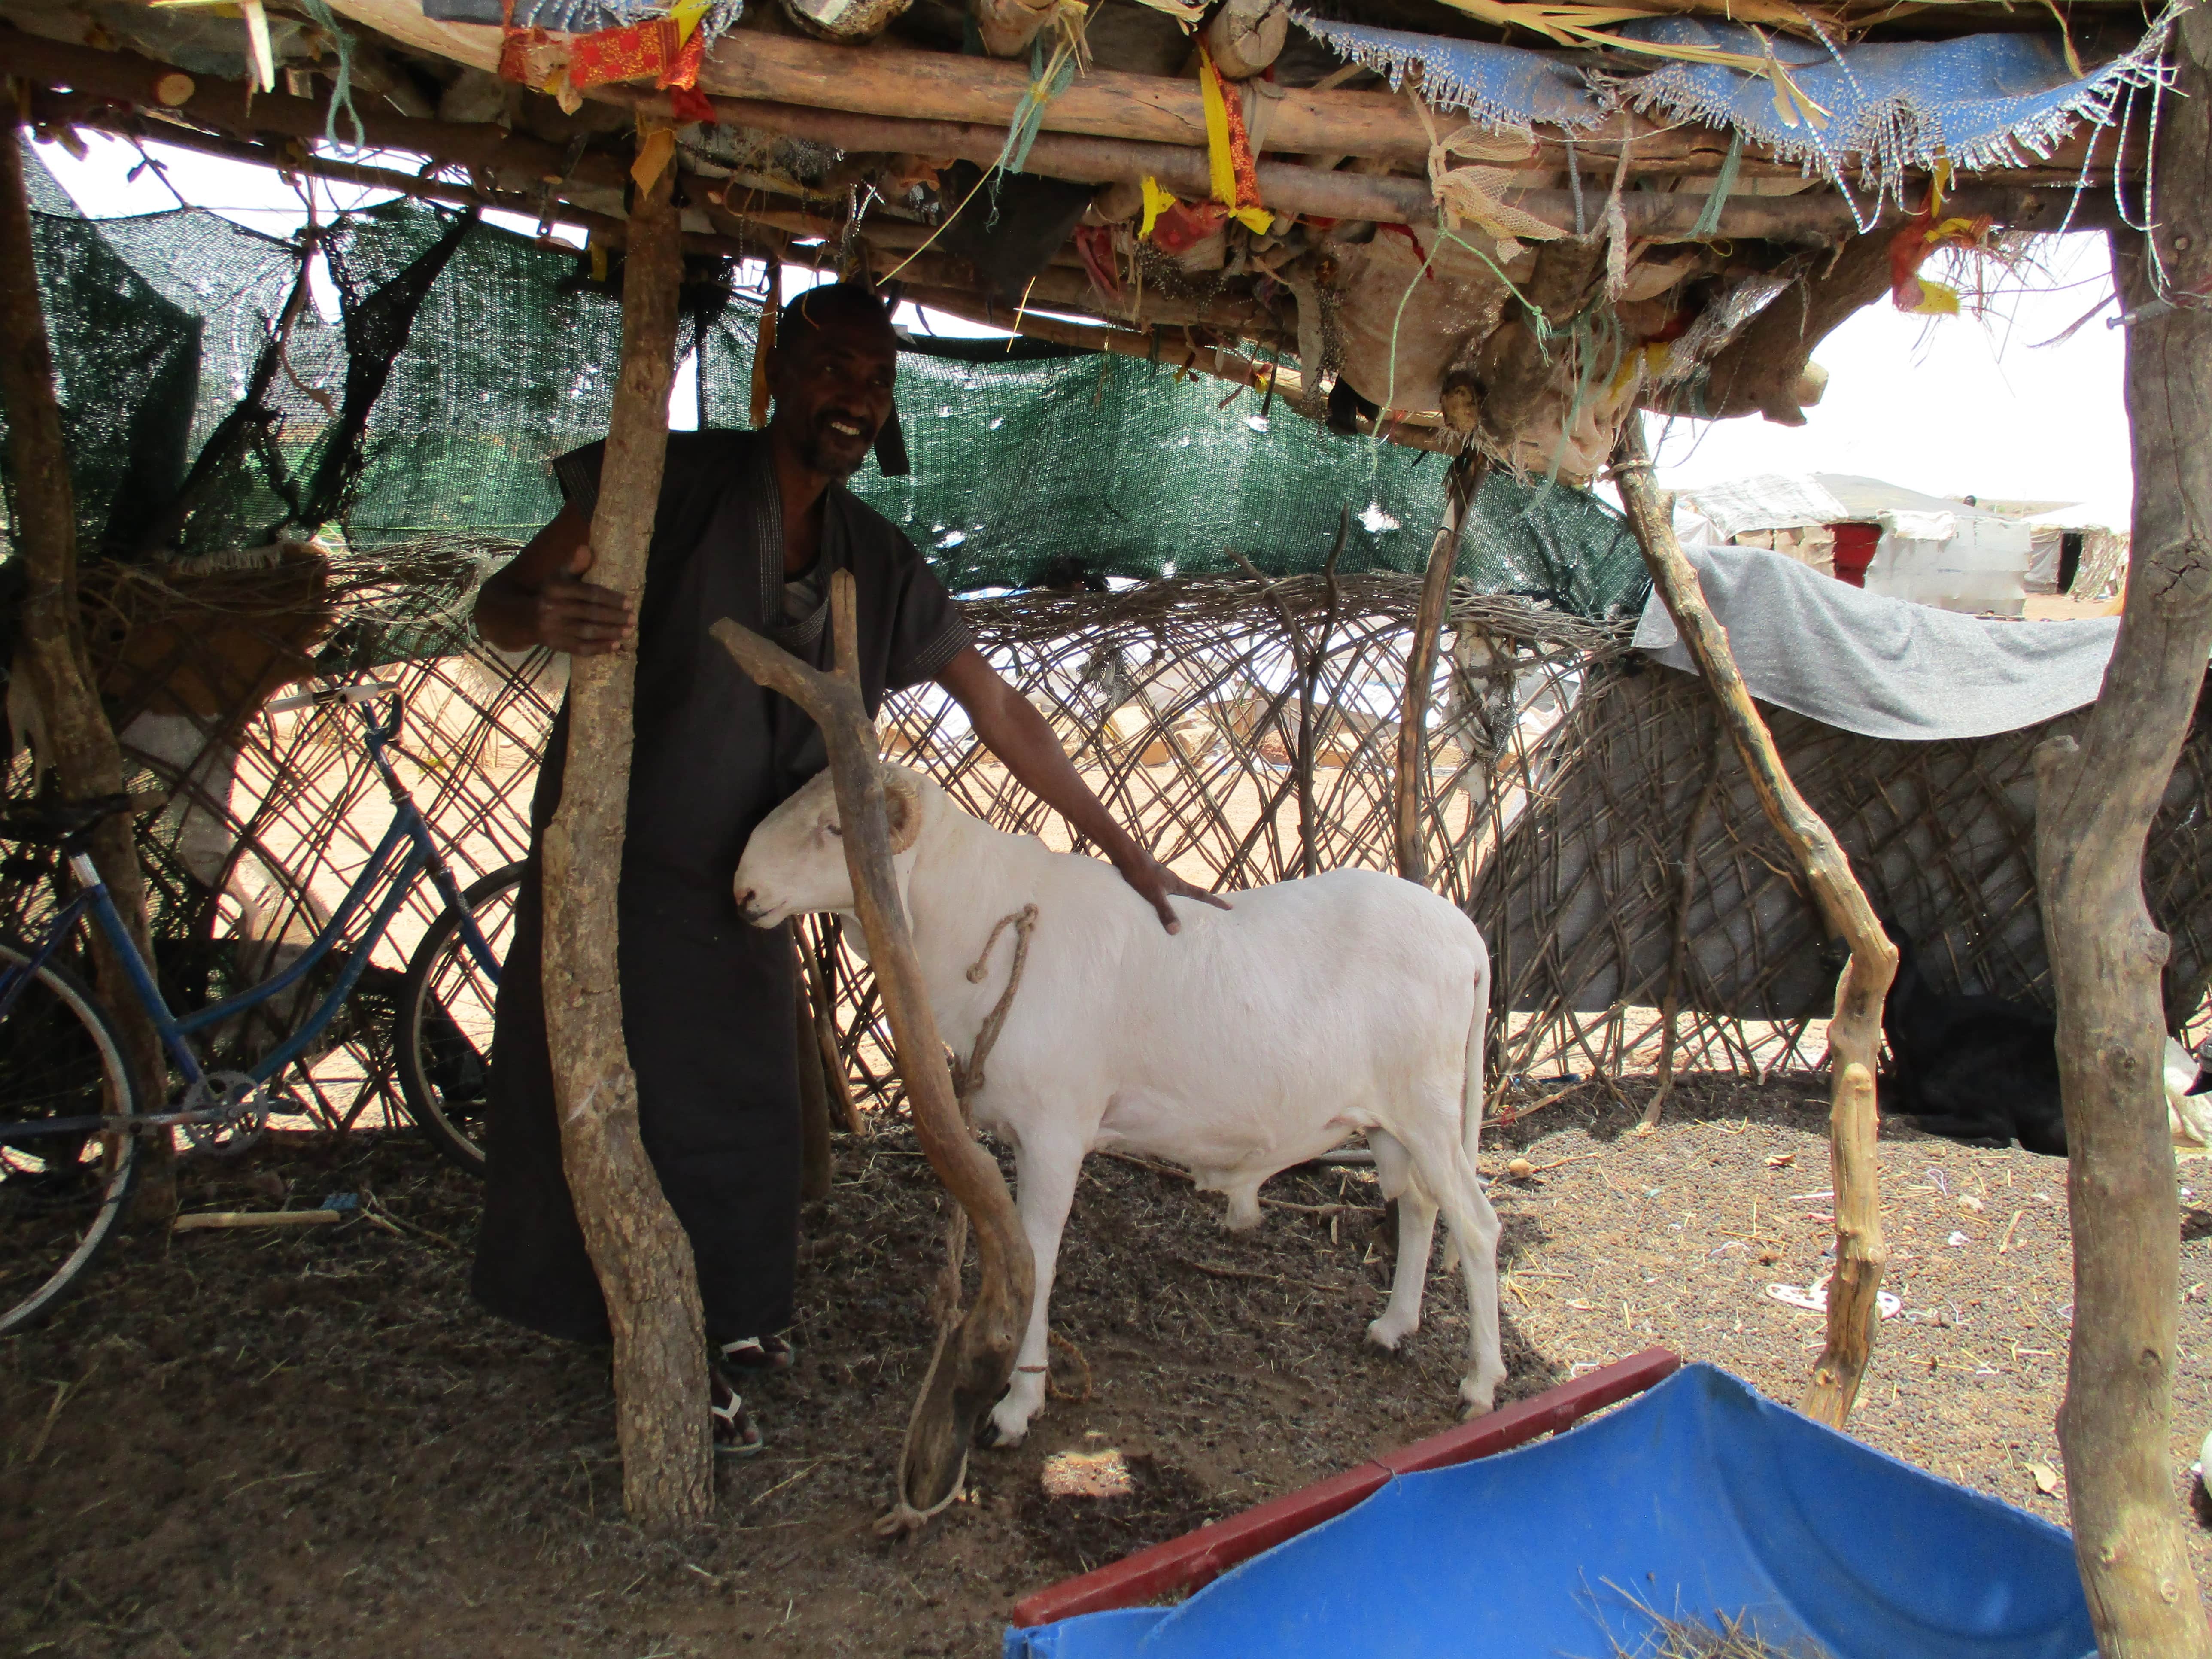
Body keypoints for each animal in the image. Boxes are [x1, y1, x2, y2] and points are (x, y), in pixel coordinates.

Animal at [738, 774, 1504, 1451]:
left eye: (835, 828)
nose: (743, 890)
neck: (985, 923)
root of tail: (1466, 936)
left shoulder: (1055, 1134)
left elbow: (1037, 1263)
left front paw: (1017, 1407)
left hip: (1429, 1105)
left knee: (1475, 1224)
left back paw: (1480, 1384)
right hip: (1392, 1116)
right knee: (1420, 1206)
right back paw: (1394, 1327)